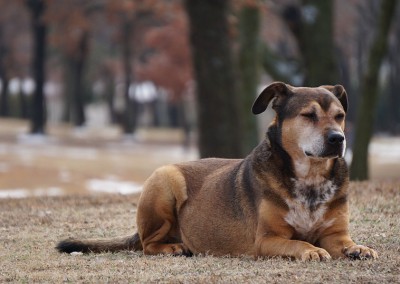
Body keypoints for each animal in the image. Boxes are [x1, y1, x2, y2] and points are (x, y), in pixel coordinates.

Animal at [57, 81, 378, 260]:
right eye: (309, 115)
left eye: (340, 116)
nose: (338, 138)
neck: (310, 178)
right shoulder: (267, 240)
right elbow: (297, 242)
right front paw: (310, 249)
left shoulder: (335, 235)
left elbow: (345, 242)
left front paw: (359, 248)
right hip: (164, 180)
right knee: (148, 244)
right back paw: (173, 248)